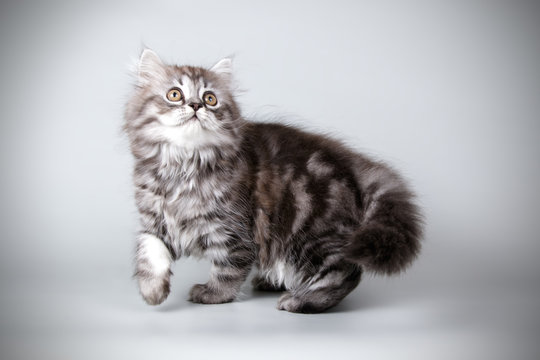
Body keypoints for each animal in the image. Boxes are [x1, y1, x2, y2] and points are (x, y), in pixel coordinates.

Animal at [122, 49, 422, 314]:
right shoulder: (155, 219)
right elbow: (148, 250)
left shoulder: (234, 229)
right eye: (174, 94)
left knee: (344, 269)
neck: (182, 164)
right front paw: (152, 291)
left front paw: (213, 294)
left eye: (210, 99)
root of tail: (350, 162)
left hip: (312, 231)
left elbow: (228, 268)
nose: (196, 106)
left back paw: (301, 301)